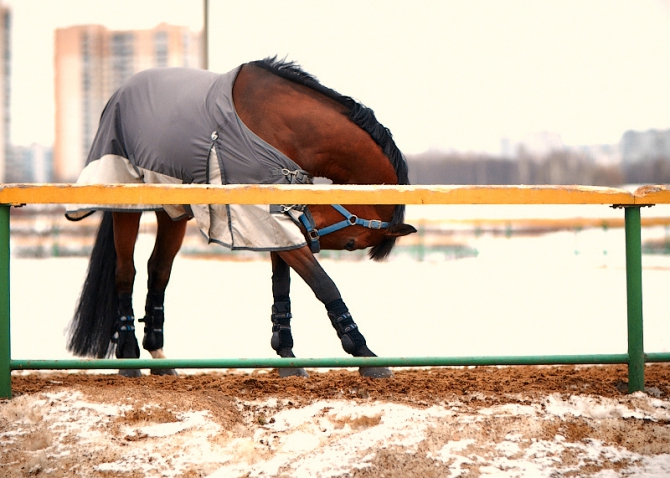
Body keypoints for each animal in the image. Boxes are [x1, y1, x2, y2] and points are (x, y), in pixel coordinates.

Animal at [65, 57, 418, 378]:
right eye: (351, 243)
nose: (309, 235)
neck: (281, 127)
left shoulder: (277, 223)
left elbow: (282, 284)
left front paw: (287, 355)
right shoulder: (270, 221)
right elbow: (323, 283)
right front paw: (365, 354)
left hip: (172, 212)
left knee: (158, 270)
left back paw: (159, 356)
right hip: (126, 208)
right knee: (126, 272)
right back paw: (129, 357)